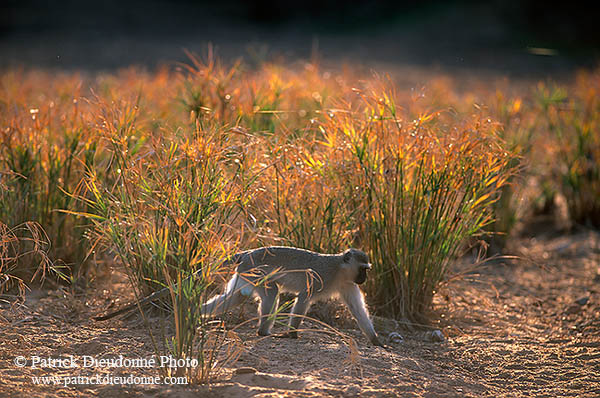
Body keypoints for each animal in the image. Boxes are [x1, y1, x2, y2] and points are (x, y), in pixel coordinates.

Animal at [94, 246, 384, 346]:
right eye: (364, 269)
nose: (364, 279)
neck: (340, 270)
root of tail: (247, 252)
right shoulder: (320, 277)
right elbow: (303, 299)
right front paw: (292, 334)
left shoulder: (348, 286)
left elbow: (358, 309)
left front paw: (376, 341)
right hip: (255, 272)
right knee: (271, 292)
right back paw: (264, 332)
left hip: (243, 275)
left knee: (233, 298)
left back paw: (194, 315)